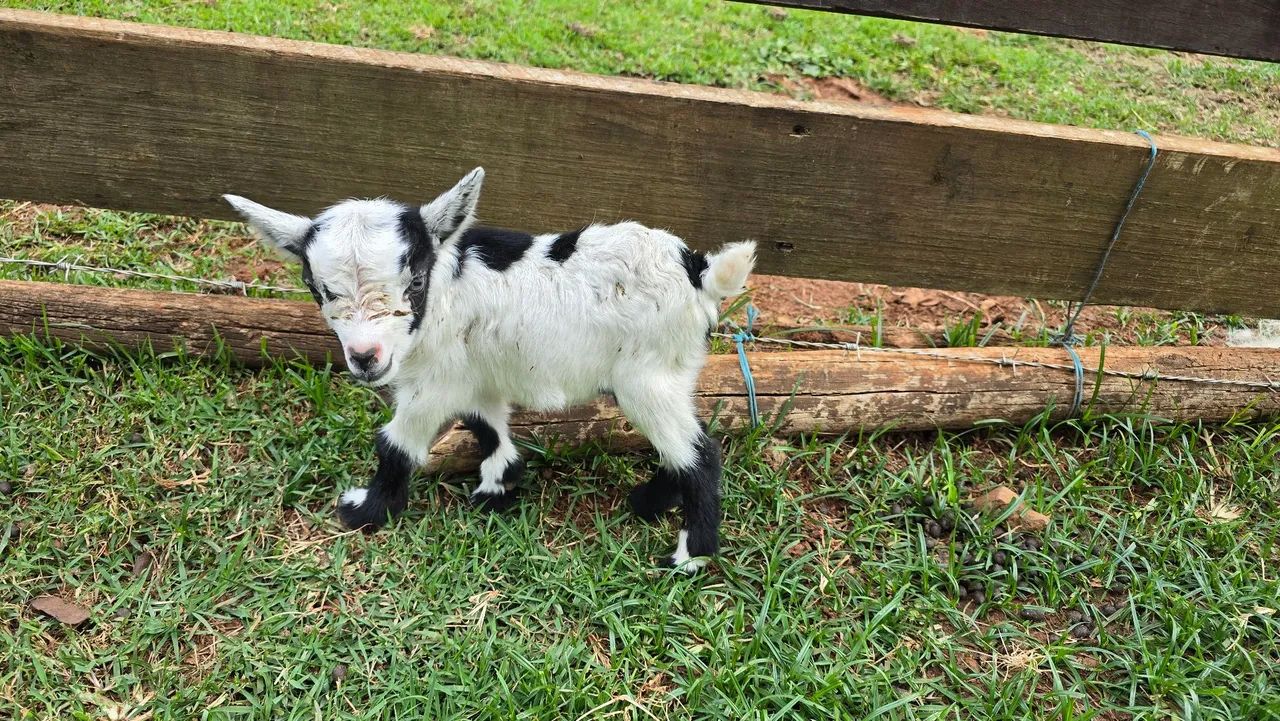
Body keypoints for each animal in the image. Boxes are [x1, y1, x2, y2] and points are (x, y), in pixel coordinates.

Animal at [223, 168, 755, 571]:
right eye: (320, 290)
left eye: (415, 282)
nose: (365, 357)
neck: (444, 292)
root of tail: (698, 270)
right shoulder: (474, 372)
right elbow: (486, 424)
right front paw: (498, 486)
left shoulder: (434, 382)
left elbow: (396, 442)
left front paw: (367, 510)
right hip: (665, 375)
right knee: (682, 448)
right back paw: (648, 502)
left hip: (647, 377)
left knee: (701, 455)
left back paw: (690, 555)